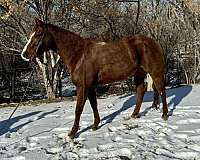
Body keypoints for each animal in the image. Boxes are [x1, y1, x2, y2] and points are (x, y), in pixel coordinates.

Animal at [21, 18, 168, 138]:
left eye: (38, 34)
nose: (25, 54)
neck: (79, 54)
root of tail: (153, 42)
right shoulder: (90, 87)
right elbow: (93, 104)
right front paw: (95, 125)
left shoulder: (83, 87)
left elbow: (78, 109)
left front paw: (73, 133)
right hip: (139, 74)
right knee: (141, 91)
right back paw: (134, 115)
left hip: (155, 73)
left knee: (161, 90)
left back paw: (165, 115)